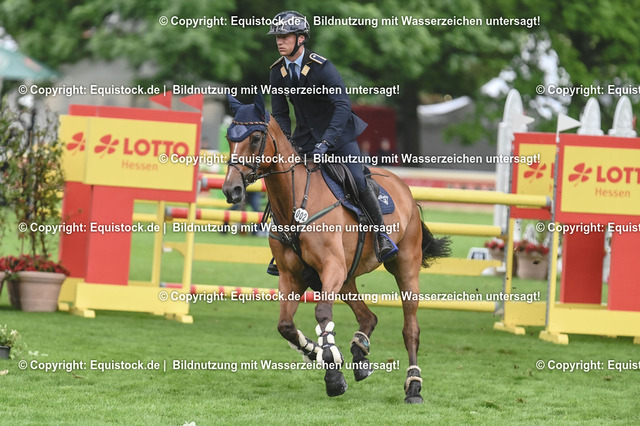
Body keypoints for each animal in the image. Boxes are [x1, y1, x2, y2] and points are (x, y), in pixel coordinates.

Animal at [222, 93, 450, 404]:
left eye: (256, 138)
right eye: (228, 137)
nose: (231, 190)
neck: (296, 201)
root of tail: (404, 188)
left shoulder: (331, 267)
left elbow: (322, 314)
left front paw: (332, 373)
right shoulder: (292, 277)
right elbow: (285, 326)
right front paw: (320, 353)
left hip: (403, 268)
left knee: (410, 329)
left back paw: (413, 386)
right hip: (346, 278)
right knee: (368, 317)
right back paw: (359, 350)